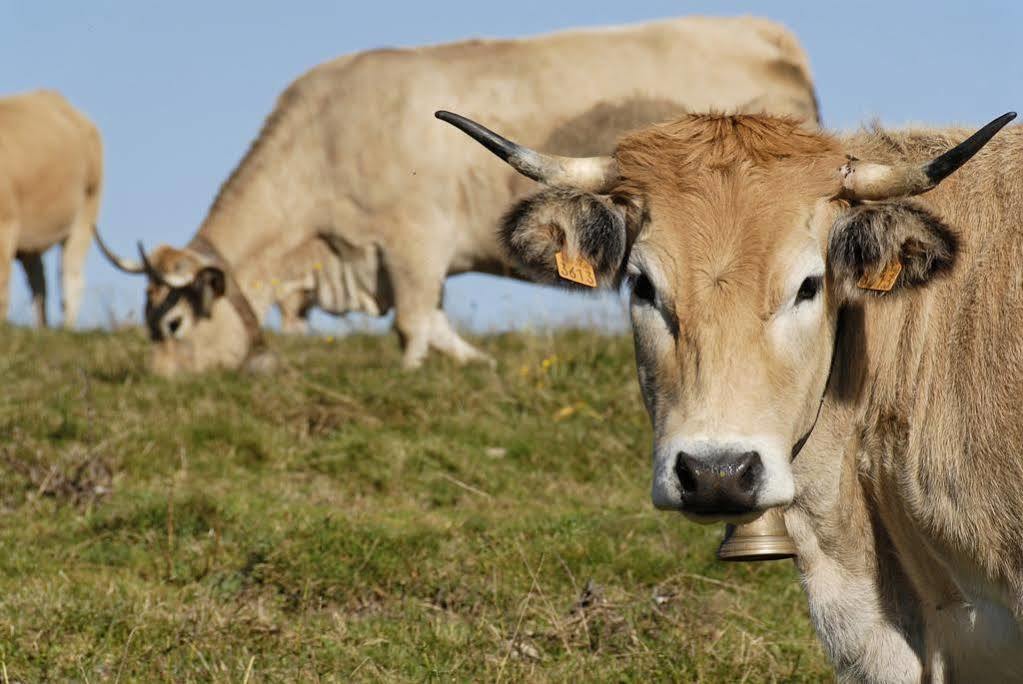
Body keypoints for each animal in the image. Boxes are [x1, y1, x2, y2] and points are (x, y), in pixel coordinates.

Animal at [0, 89, 102, 327]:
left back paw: (66, 328)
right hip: (31, 236)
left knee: (70, 278)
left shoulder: (5, 225)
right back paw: (41, 328)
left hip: (87, 208)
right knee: (39, 285)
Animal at [94, 15, 814, 376]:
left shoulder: (412, 240)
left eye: (173, 325)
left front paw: (415, 374)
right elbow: (436, 321)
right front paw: (472, 359)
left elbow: (413, 323)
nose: (158, 381)